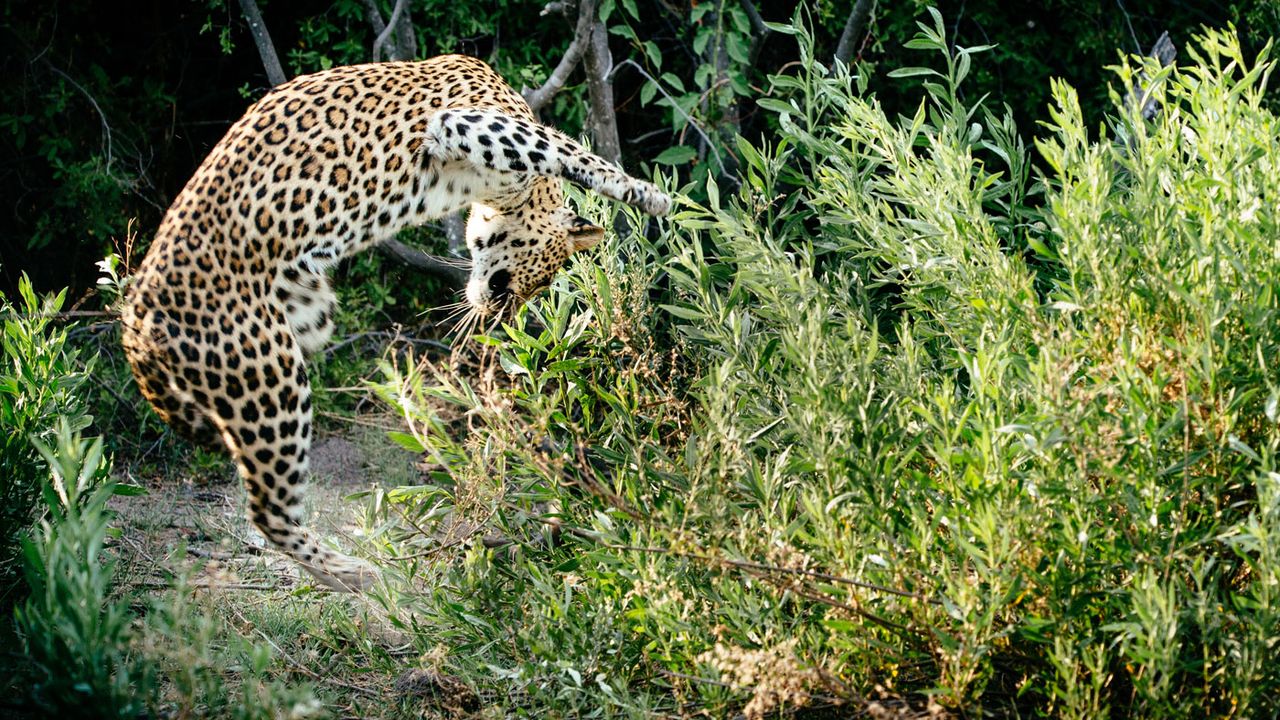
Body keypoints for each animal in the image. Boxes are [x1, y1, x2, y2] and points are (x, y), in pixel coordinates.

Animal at [120, 54, 670, 592]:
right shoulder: (468, 125)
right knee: (267, 512)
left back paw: (355, 576)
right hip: (269, 382)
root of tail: (133, 320)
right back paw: (360, 574)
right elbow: (570, 150)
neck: (505, 194)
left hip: (306, 321)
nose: (499, 319)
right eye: (533, 283)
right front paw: (647, 194)